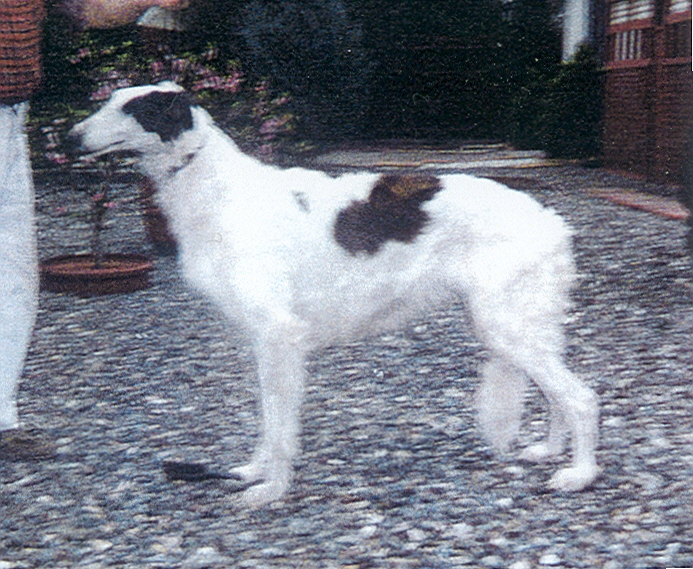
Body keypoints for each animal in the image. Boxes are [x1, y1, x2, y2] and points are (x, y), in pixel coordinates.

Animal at [69, 82, 600, 507]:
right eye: (108, 100)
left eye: (133, 109)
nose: (69, 137)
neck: (217, 189)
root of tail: (552, 220)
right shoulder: (263, 341)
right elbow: (268, 423)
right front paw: (253, 472)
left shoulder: (279, 336)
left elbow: (280, 428)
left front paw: (271, 489)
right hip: (519, 325)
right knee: (557, 394)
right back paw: (550, 451)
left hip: (506, 326)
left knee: (582, 397)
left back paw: (579, 474)